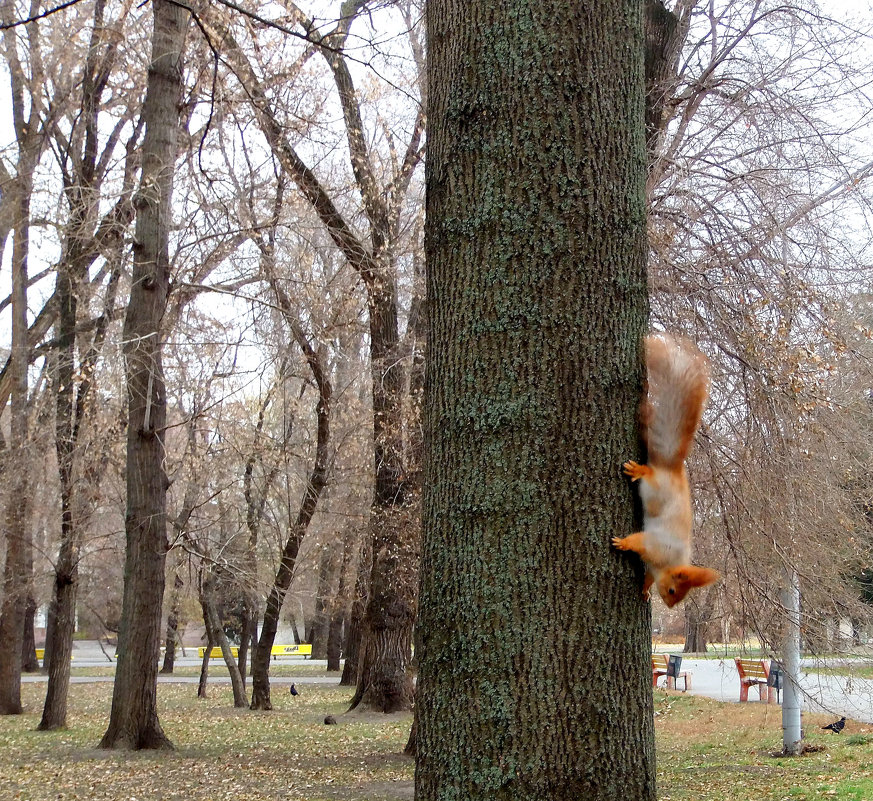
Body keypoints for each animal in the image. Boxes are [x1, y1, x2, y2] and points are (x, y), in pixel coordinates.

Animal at [608, 332, 720, 608]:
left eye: (678, 597)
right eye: (672, 591)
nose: (669, 606)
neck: (668, 564)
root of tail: (672, 470)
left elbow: (648, 577)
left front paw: (645, 590)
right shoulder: (655, 545)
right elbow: (637, 541)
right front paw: (623, 542)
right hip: (655, 492)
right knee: (649, 477)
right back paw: (640, 471)